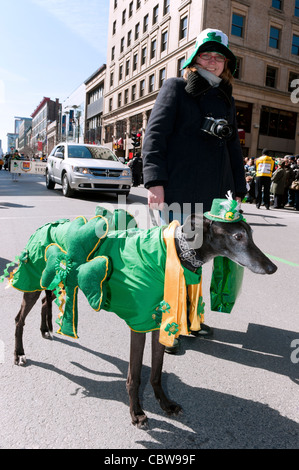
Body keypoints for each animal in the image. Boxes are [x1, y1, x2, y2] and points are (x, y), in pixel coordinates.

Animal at [13, 214, 276, 430]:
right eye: (238, 236)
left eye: (251, 234)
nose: (272, 267)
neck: (175, 253)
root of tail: (45, 225)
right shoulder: (138, 324)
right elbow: (135, 375)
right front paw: (137, 413)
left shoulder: (159, 322)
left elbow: (157, 372)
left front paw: (165, 404)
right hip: (33, 279)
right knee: (18, 319)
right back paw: (19, 354)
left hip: (56, 279)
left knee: (46, 302)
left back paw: (46, 329)